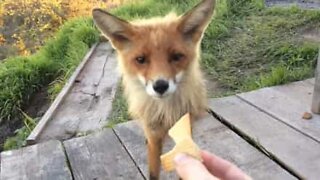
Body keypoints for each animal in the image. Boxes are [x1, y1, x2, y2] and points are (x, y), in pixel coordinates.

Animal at [93, 0, 215, 179]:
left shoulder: (186, 130)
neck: (165, 113)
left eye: (176, 56)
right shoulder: (153, 135)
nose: (160, 86)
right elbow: (153, 172)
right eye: (140, 59)